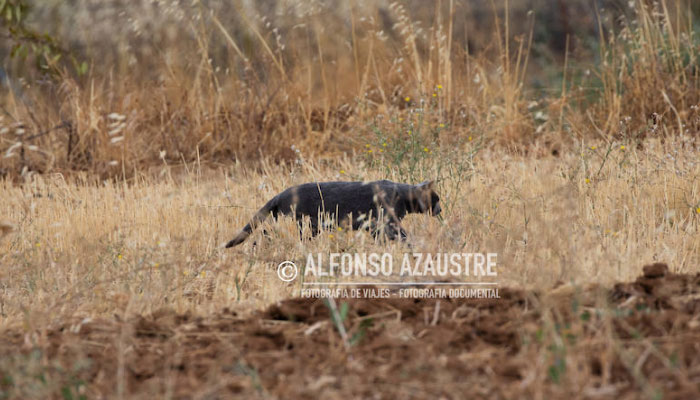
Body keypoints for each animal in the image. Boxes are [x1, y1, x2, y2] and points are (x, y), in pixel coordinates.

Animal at [227, 180, 440, 247]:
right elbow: (400, 234)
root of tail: (282, 193)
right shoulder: (385, 221)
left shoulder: (377, 226)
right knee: (269, 235)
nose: (441, 209)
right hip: (304, 222)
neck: (402, 194)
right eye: (436, 199)